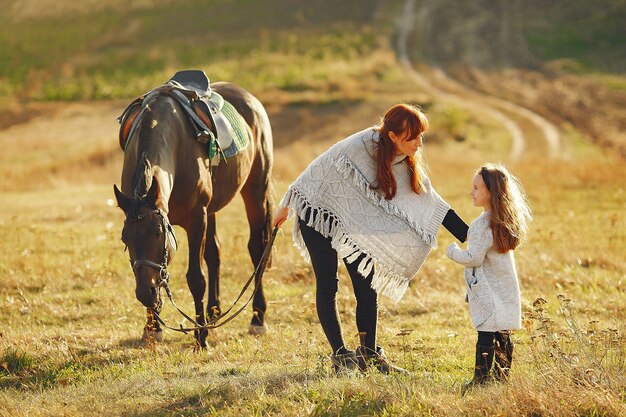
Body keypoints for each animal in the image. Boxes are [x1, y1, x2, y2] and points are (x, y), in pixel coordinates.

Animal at [112, 79, 272, 346]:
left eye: (157, 232)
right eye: (125, 239)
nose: (144, 292)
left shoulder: (197, 218)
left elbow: (196, 279)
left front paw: (200, 337)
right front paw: (153, 328)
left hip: (256, 189)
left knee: (256, 250)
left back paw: (257, 318)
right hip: (213, 209)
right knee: (215, 252)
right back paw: (213, 313)